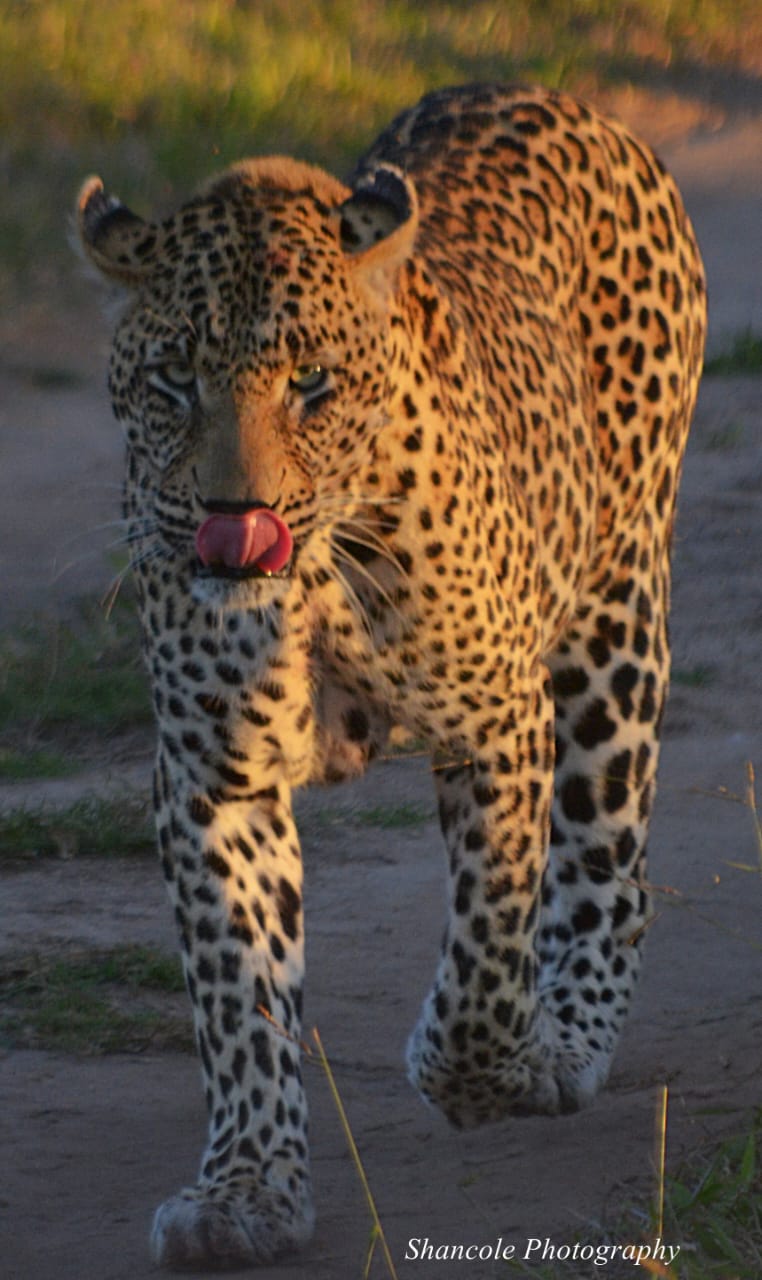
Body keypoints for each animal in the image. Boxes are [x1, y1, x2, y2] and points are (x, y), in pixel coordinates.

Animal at [77, 82, 706, 1270]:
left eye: (311, 386)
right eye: (174, 382)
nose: (234, 520)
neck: (314, 581)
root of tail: (546, 93)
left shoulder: (498, 720)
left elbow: (488, 950)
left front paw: (482, 1072)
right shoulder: (213, 775)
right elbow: (241, 996)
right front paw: (246, 1190)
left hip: (613, 613)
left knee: (609, 856)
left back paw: (569, 1035)